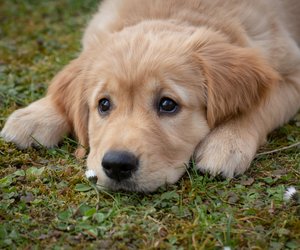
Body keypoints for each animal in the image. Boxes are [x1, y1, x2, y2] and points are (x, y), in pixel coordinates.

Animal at [0, 0, 300, 191]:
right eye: (103, 104)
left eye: (168, 104)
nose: (117, 165)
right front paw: (37, 115)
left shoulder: (292, 75)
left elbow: (261, 105)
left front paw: (227, 142)